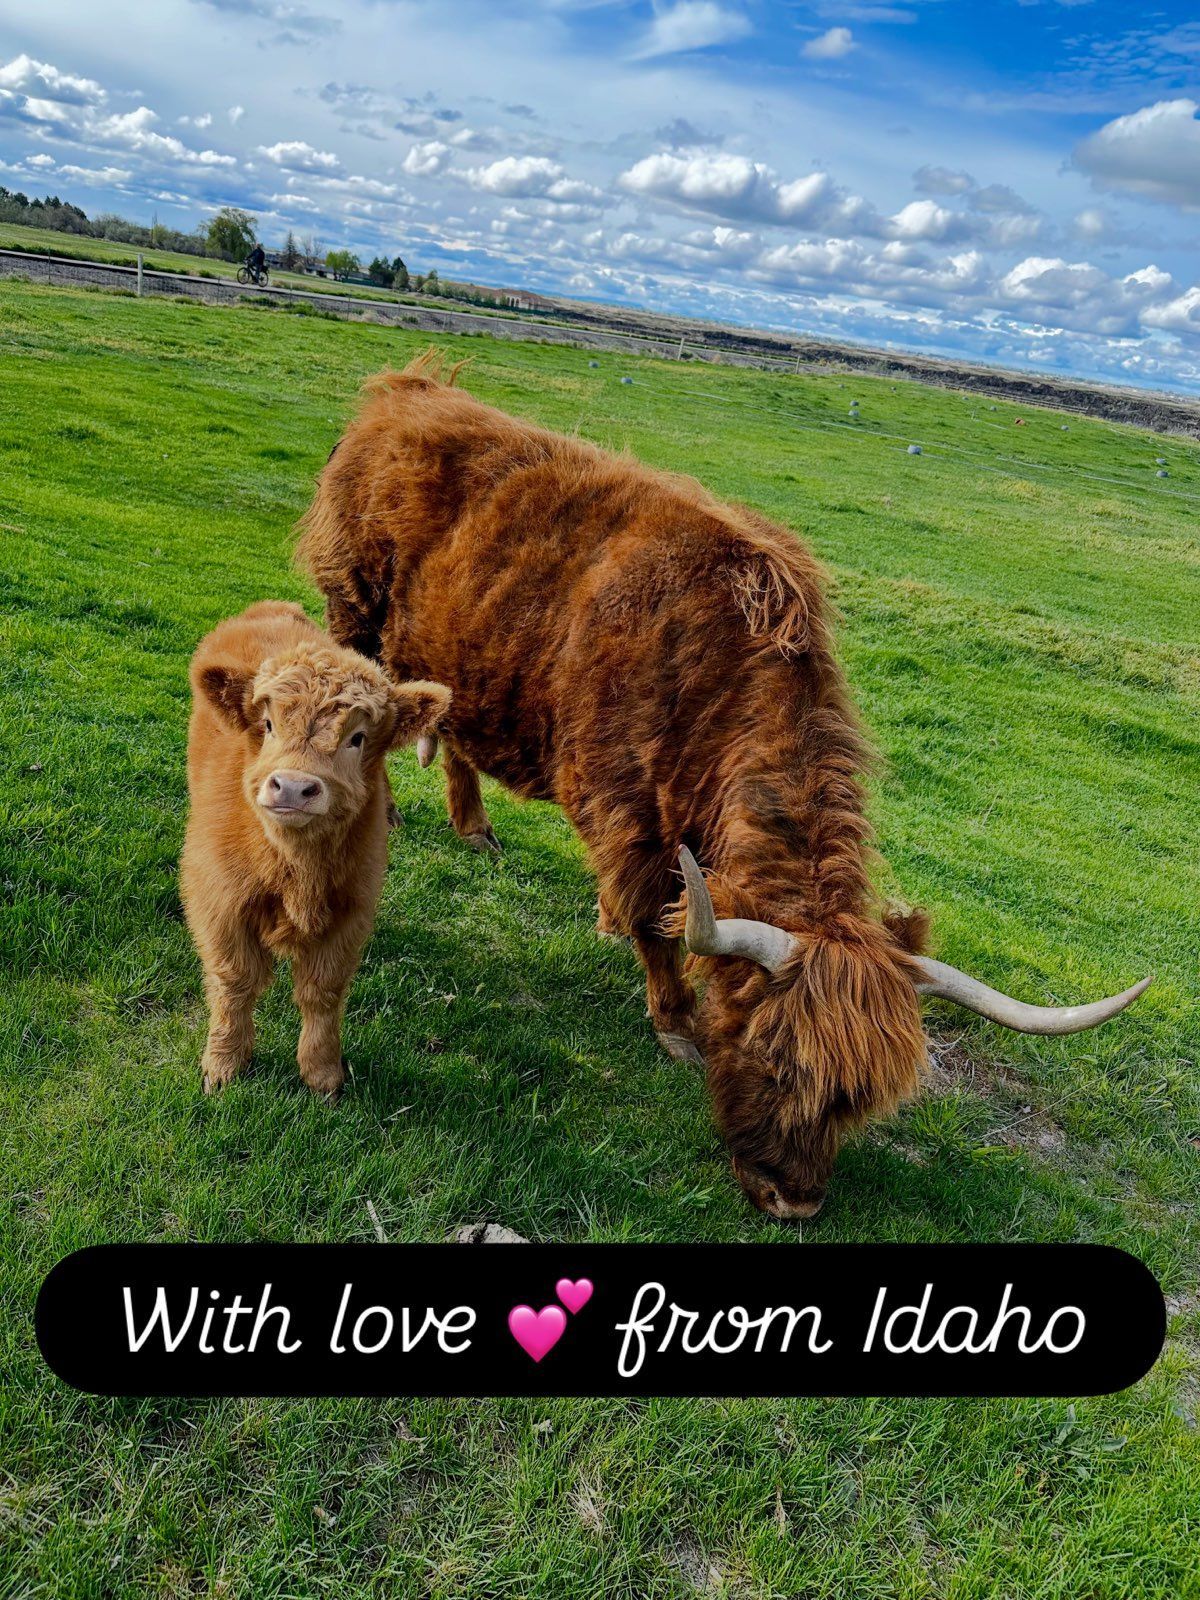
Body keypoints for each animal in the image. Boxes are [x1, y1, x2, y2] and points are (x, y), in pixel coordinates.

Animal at [181, 601, 450, 1096]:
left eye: (357, 738)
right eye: (268, 724)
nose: (292, 786)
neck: (295, 869)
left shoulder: (349, 912)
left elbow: (322, 993)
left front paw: (322, 1073)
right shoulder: (219, 902)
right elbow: (235, 983)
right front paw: (224, 1064)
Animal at [296, 355, 1149, 1217]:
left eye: (859, 1101)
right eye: (772, 1061)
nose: (794, 1201)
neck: (717, 672)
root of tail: (411, 388)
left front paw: (608, 925)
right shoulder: (623, 804)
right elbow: (652, 912)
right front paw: (672, 1017)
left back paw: (475, 827)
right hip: (353, 604)